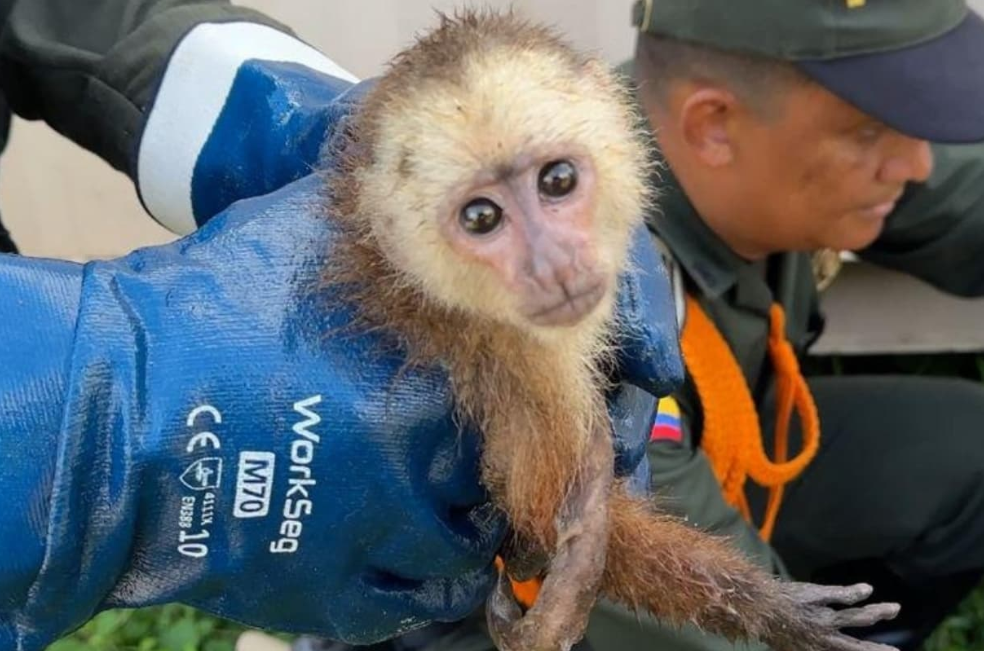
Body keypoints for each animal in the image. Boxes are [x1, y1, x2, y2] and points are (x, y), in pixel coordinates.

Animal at [317, 9, 901, 651]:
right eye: (481, 217)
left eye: (558, 180)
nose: (552, 265)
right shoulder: (512, 363)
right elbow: (552, 515)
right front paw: (767, 607)